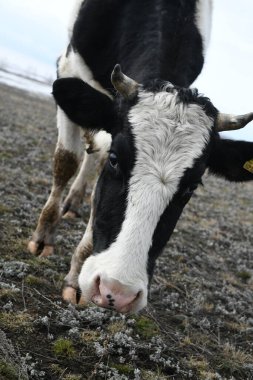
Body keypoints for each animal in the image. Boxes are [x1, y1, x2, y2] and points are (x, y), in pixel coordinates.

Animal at [27, 0, 253, 314]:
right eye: (116, 160)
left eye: (191, 187)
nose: (117, 291)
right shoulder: (70, 65)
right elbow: (66, 161)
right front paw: (43, 237)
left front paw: (76, 275)